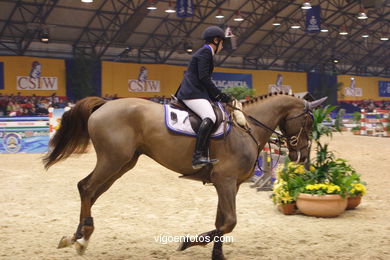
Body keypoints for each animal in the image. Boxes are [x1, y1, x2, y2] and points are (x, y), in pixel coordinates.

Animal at [43, 94, 326, 260]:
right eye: (308, 123)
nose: (301, 156)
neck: (248, 128)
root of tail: (105, 104)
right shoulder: (225, 181)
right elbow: (229, 222)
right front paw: (187, 242)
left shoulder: (229, 184)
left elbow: (222, 221)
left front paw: (217, 254)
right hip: (112, 160)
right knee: (86, 187)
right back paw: (80, 237)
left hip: (123, 164)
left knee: (91, 192)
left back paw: (78, 237)